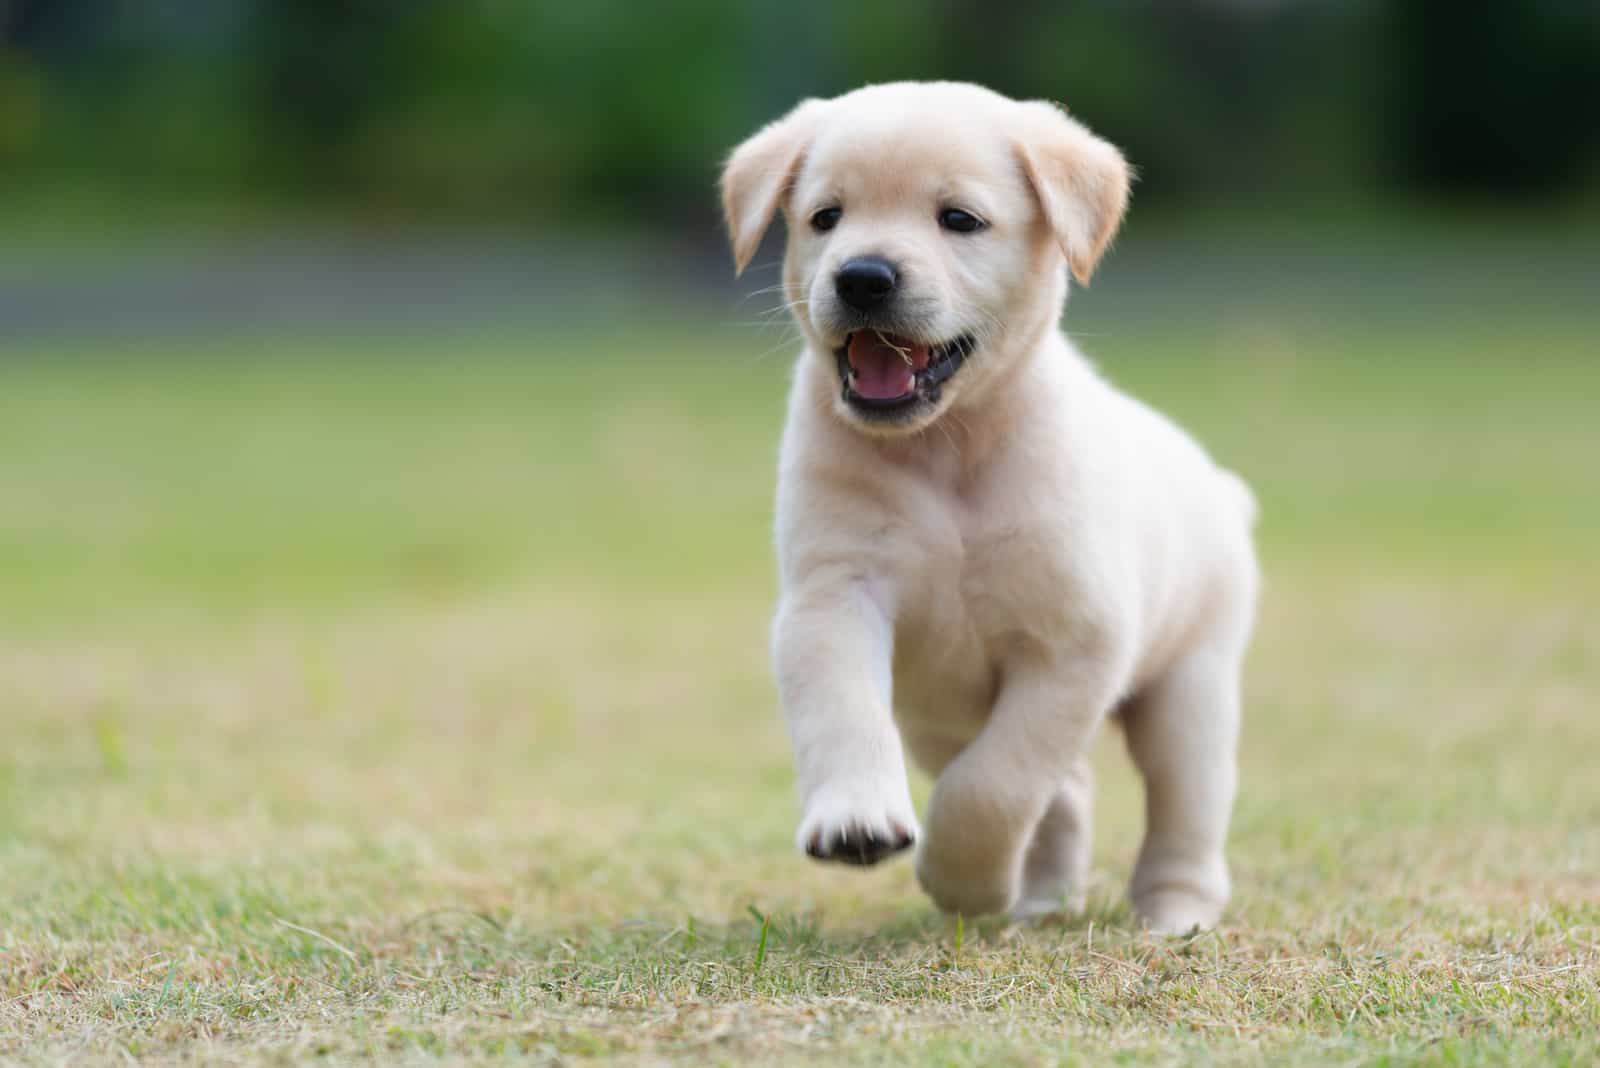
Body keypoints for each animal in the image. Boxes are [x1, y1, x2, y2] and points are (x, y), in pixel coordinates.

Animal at [720, 83, 1254, 927]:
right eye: (825, 217)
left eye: (959, 219)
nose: (862, 277)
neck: (948, 449)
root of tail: (1221, 488)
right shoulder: (833, 596)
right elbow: (843, 711)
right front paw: (858, 820)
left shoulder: (1074, 644)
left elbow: (996, 783)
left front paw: (962, 879)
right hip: (935, 717)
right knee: (1066, 793)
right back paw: (1041, 897)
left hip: (1191, 688)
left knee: (1183, 808)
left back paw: (1174, 914)